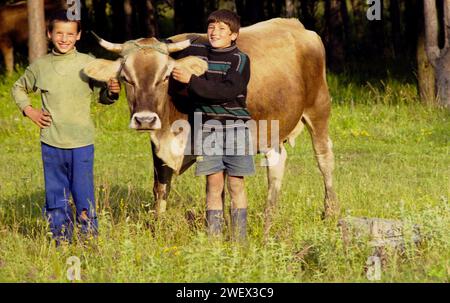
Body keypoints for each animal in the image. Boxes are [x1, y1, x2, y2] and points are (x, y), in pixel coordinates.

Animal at [82, 17, 340, 239]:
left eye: (165, 77)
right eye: (126, 78)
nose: (145, 120)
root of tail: (298, 26)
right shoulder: (158, 145)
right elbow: (161, 186)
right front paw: (158, 229)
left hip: (319, 109)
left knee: (324, 159)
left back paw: (330, 213)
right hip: (273, 129)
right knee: (277, 163)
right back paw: (269, 221)